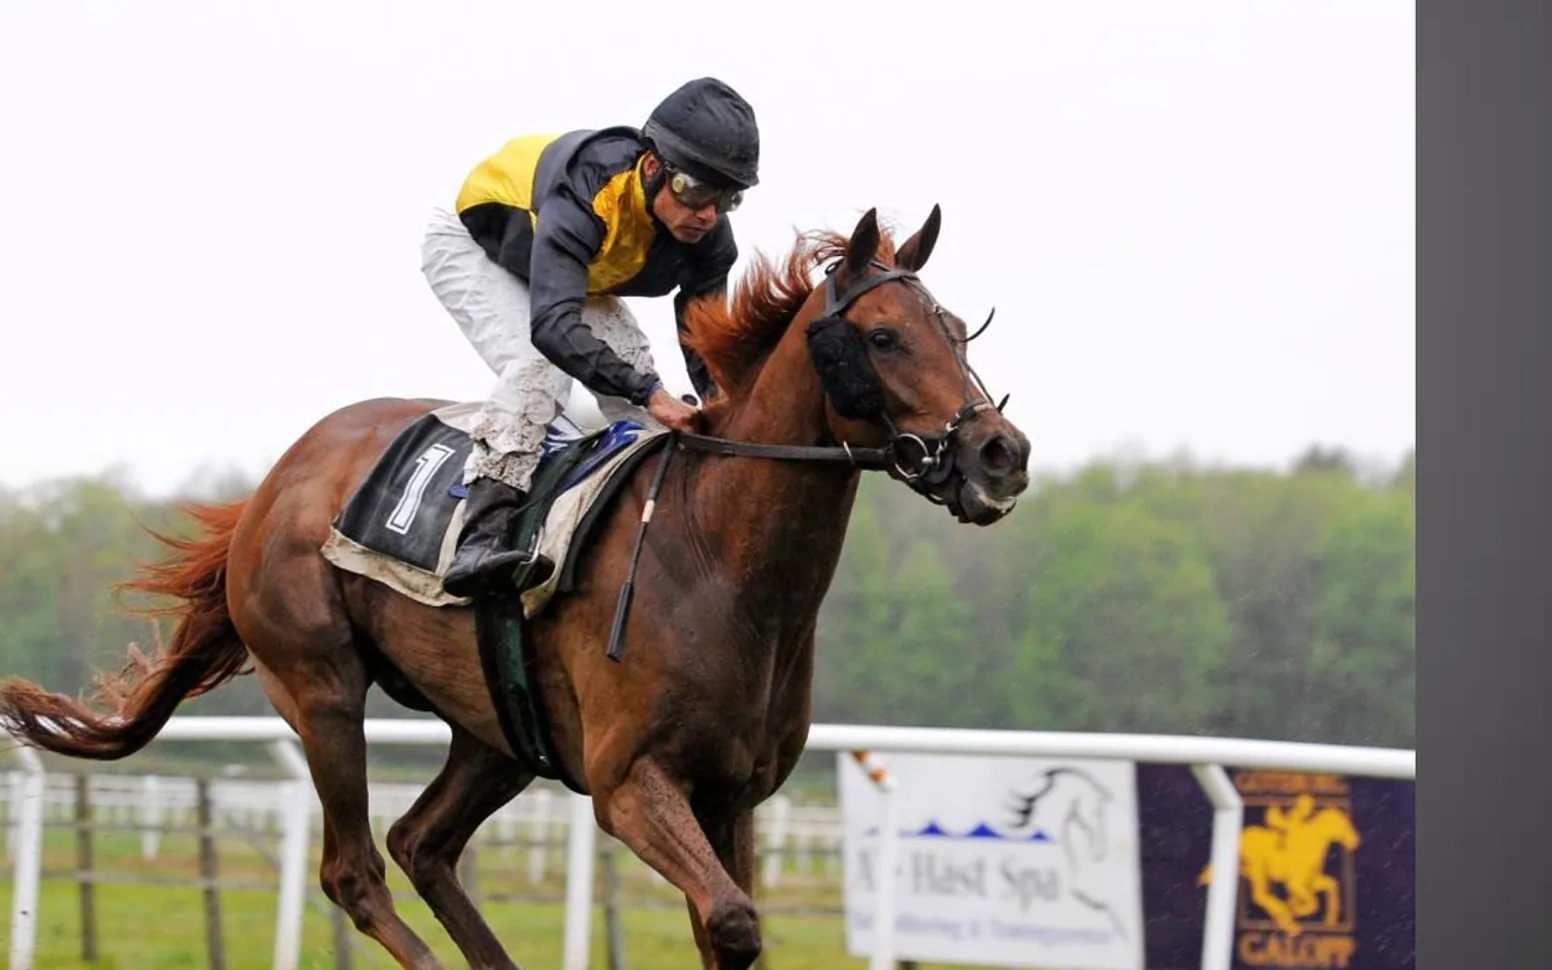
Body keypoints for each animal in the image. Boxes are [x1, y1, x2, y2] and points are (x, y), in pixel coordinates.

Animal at [0, 205, 1031, 970]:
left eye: (956, 330)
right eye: (885, 336)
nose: (1001, 453)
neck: (720, 563)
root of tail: (275, 482)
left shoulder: (733, 796)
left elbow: (728, 927)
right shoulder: (629, 782)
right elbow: (734, 920)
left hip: (498, 728)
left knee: (422, 844)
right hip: (319, 685)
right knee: (356, 871)